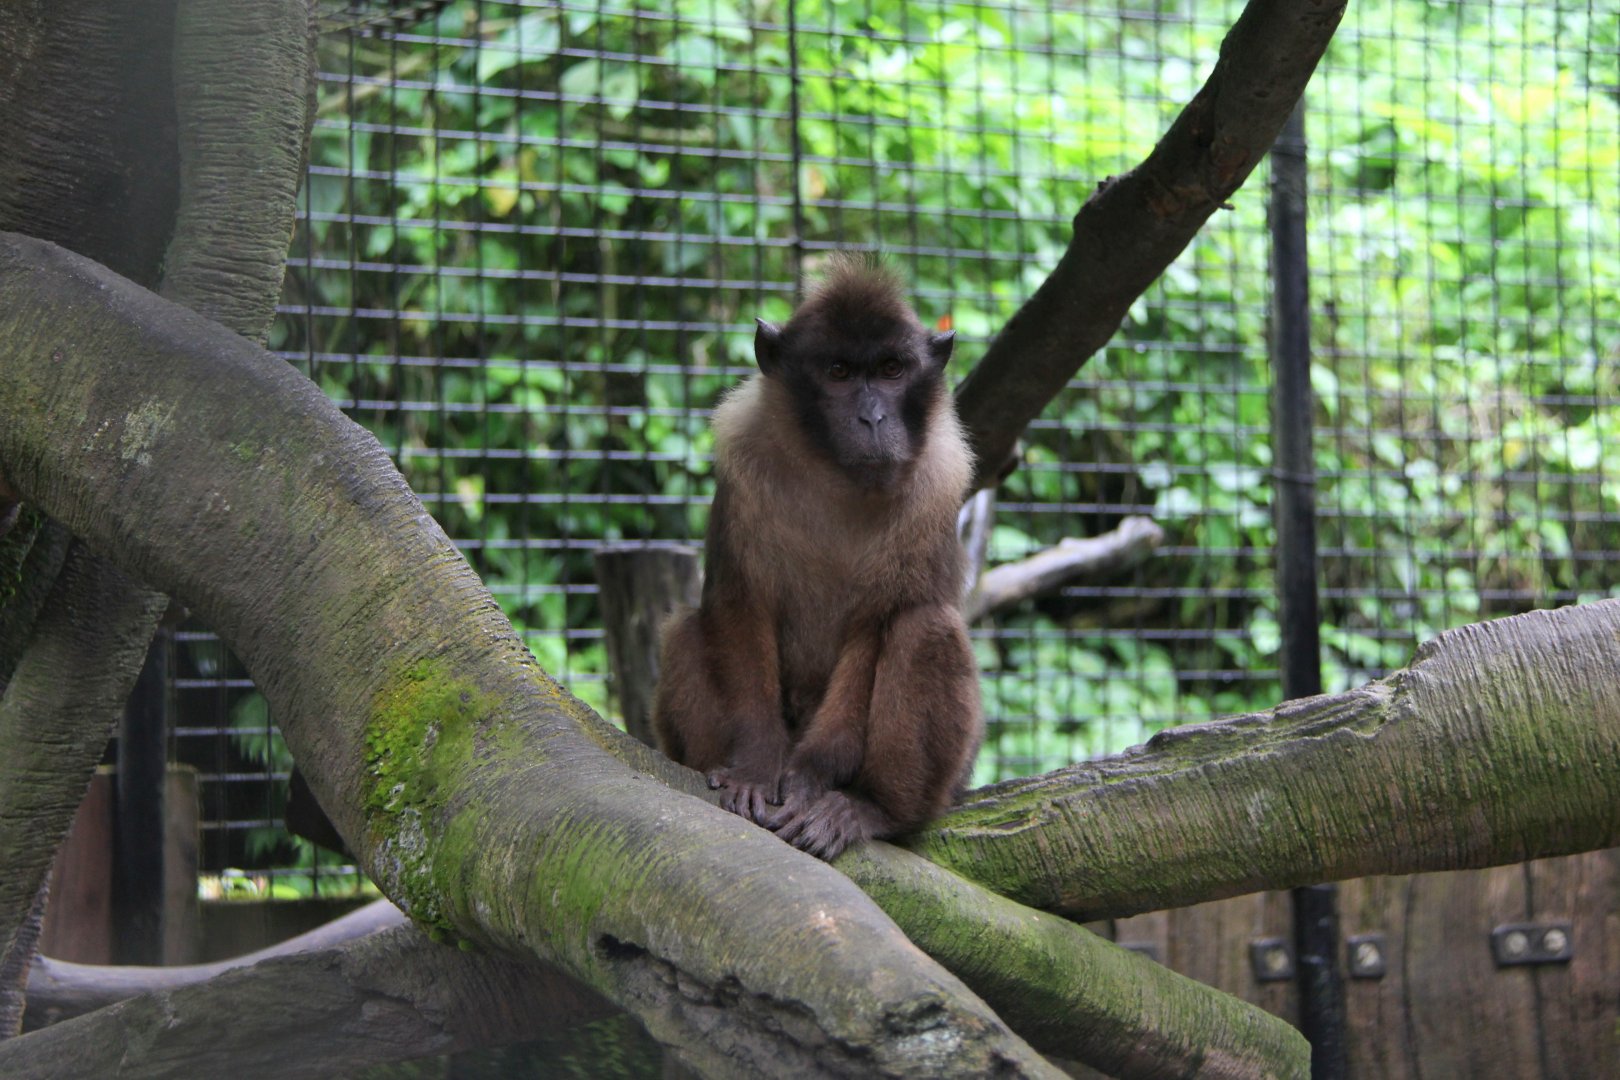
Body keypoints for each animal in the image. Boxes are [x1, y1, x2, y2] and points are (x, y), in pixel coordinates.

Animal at [652, 254, 982, 860]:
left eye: (892, 370)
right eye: (839, 373)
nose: (873, 419)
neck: (837, 476)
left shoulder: (937, 488)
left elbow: (877, 628)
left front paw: (810, 778)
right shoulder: (743, 469)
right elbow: (738, 605)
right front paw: (757, 766)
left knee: (927, 627)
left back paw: (875, 808)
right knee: (689, 625)